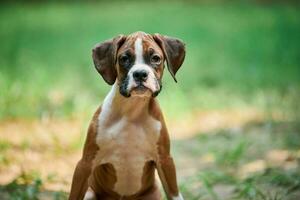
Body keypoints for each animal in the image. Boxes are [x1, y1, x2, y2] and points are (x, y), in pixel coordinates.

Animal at [69, 31, 185, 200]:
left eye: (155, 58)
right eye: (124, 59)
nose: (140, 74)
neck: (132, 112)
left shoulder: (165, 161)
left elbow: (175, 194)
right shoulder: (85, 164)